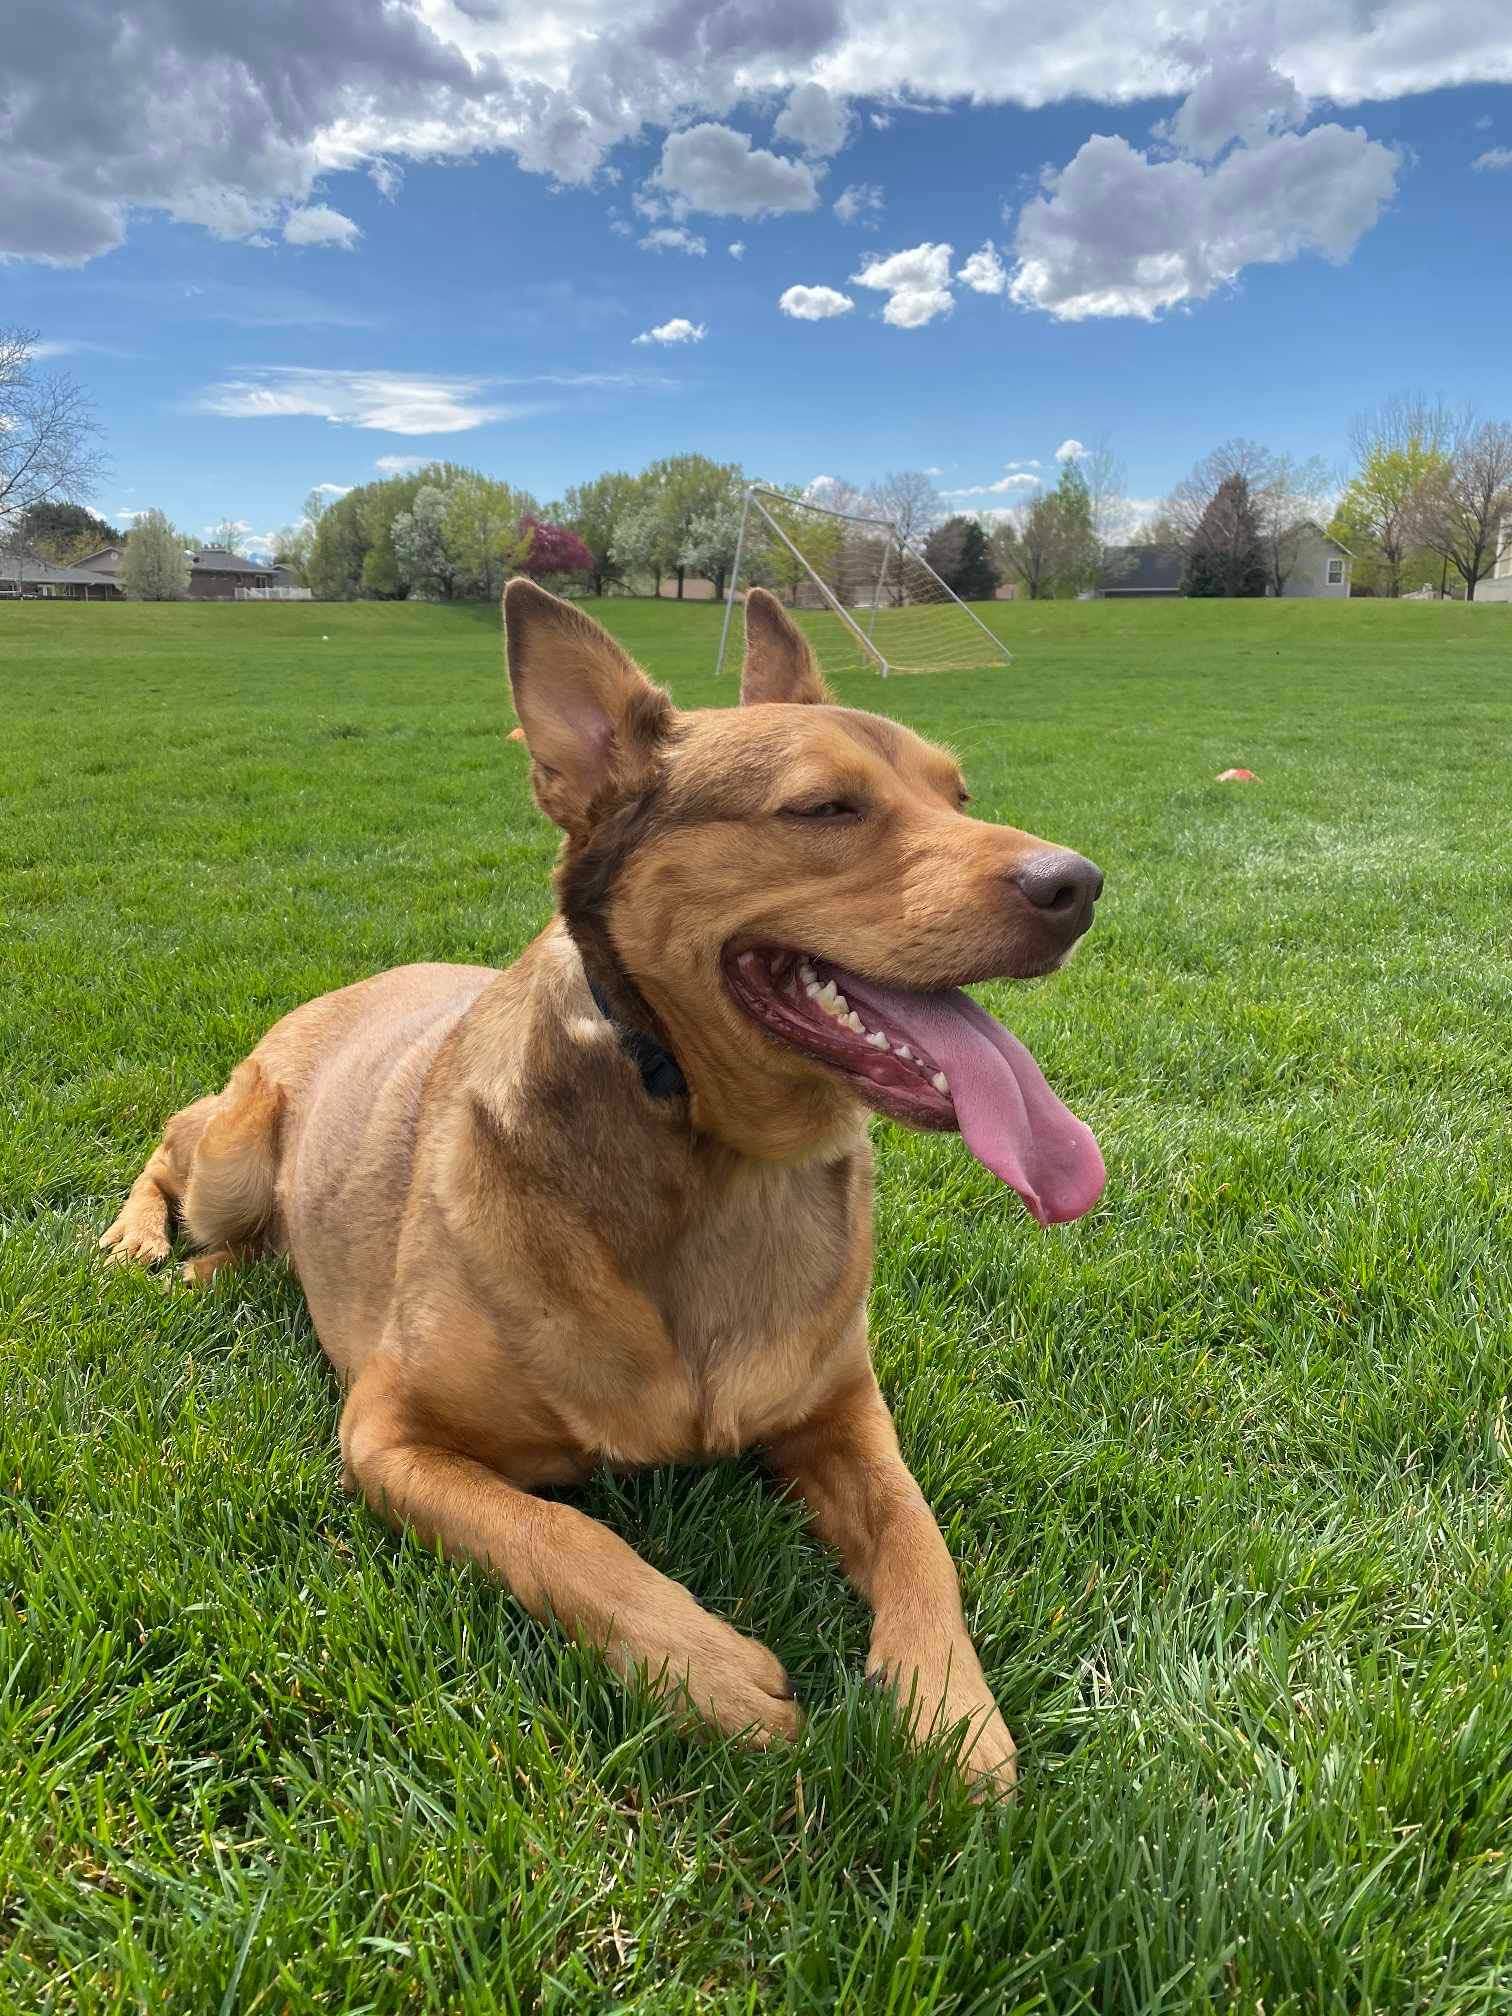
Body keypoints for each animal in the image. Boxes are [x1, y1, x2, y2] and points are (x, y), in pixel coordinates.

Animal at [100, 580, 1104, 1798]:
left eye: (960, 795)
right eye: (824, 809)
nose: (1079, 884)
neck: (712, 1157)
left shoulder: (844, 1410)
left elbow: (920, 1541)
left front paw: (952, 1709)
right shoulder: (388, 1433)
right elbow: (562, 1536)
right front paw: (702, 1666)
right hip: (238, 1151)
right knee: (174, 1137)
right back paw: (140, 1243)